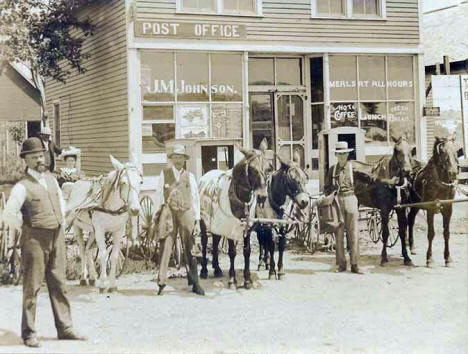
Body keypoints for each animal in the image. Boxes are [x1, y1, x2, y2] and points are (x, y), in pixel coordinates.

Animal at [66, 156, 142, 292]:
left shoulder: (118, 231)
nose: (135, 210)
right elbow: (102, 255)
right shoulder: (100, 230)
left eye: (140, 181)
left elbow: (114, 256)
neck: (112, 208)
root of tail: (77, 183)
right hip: (77, 226)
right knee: (82, 249)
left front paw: (112, 284)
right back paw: (83, 278)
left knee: (87, 249)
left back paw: (92, 277)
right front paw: (103, 284)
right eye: (123, 182)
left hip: (92, 230)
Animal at [198, 145, 268, 290]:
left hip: (217, 224)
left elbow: (246, 252)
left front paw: (247, 280)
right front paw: (232, 280)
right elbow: (232, 252)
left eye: (269, 167)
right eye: (252, 169)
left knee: (215, 241)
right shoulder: (230, 229)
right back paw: (204, 271)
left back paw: (217, 268)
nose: (262, 196)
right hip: (204, 221)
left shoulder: (246, 228)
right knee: (204, 242)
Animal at [352, 136, 414, 266]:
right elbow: (385, 233)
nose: (407, 171)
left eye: (411, 151)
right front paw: (384, 257)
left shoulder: (401, 209)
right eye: (397, 150)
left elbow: (402, 232)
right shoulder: (384, 209)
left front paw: (406, 257)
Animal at [406, 137, 460, 266]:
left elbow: (446, 233)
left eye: (455, 150)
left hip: (415, 205)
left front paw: (447, 258)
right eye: (442, 151)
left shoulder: (448, 208)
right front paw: (429, 258)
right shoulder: (430, 208)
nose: (453, 172)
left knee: (410, 219)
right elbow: (431, 233)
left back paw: (412, 246)